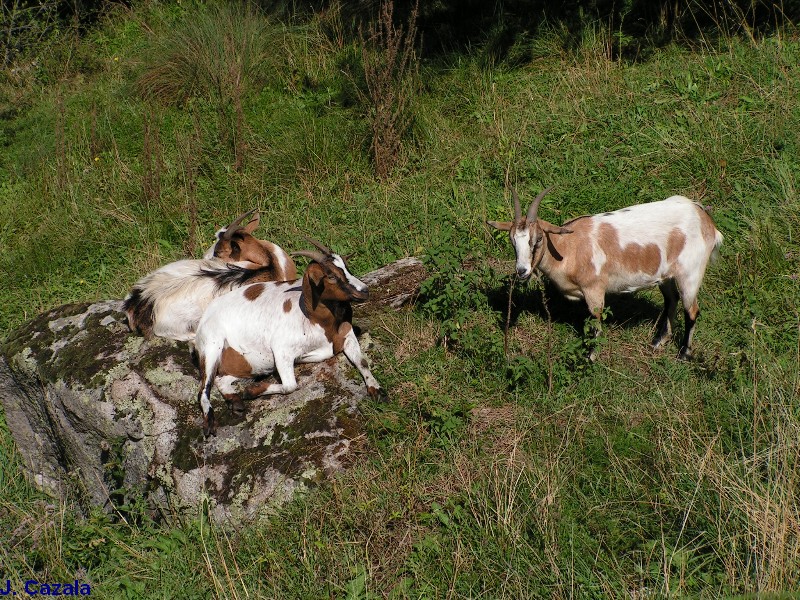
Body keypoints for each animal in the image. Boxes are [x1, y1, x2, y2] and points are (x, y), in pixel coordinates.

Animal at [191, 238, 384, 436]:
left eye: (346, 267)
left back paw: (235, 402)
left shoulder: (347, 337)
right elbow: (291, 385)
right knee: (203, 388)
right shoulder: (281, 349)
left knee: (221, 379)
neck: (314, 318)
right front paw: (252, 391)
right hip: (211, 345)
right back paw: (211, 421)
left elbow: (362, 362)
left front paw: (376, 389)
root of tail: (206, 314)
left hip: (248, 365)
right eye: (330, 275)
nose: (364, 290)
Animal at [488, 188, 724, 358]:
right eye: (513, 240)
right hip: (666, 276)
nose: (522, 271)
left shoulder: (594, 289)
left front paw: (591, 356)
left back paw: (684, 354)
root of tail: (706, 221)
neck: (569, 247)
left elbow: (596, 321)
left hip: (690, 274)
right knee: (671, 299)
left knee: (691, 310)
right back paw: (658, 342)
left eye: (537, 239)